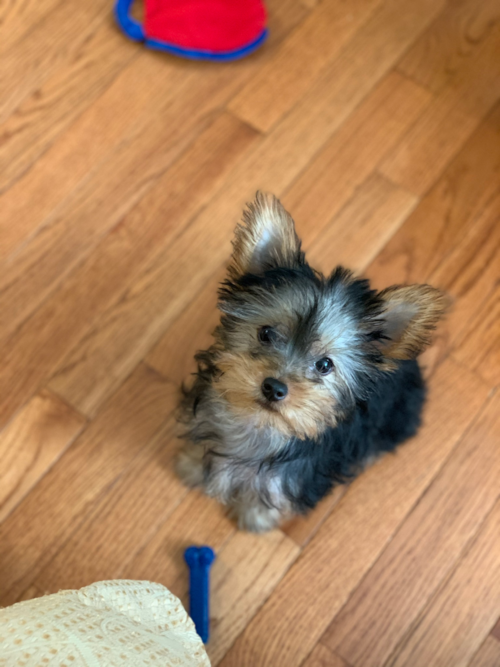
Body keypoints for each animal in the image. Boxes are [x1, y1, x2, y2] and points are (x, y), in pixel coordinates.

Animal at [178, 192, 448, 532]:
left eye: (324, 365)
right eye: (265, 333)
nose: (274, 388)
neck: (261, 425)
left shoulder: (296, 475)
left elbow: (272, 492)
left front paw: (256, 517)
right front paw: (191, 466)